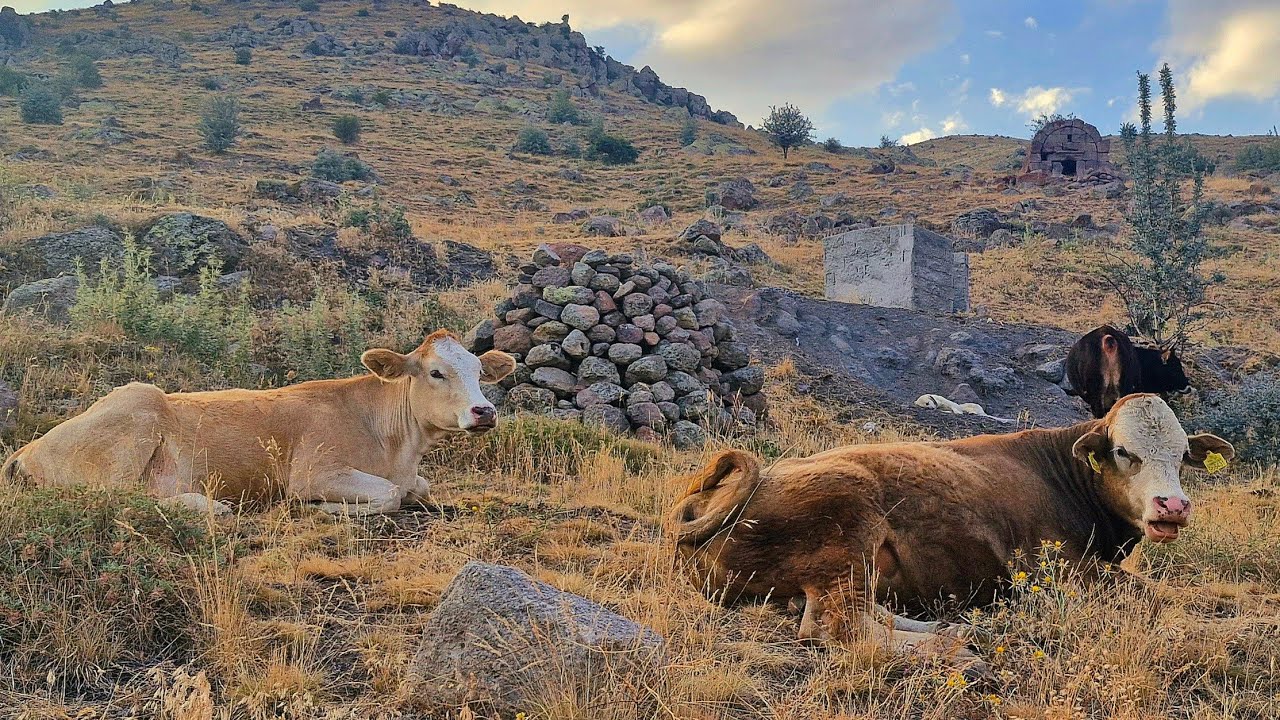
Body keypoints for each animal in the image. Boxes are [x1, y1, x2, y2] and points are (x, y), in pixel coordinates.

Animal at [1, 330, 515, 516]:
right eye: (436, 372)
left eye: (478, 371)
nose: (484, 411)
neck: (397, 446)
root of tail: (27, 447)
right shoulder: (314, 471)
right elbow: (389, 496)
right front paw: (327, 510)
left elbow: (418, 489)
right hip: (135, 412)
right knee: (117, 498)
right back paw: (207, 505)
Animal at [670, 394, 1232, 662]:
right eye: (1123, 452)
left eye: (1182, 456)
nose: (1172, 505)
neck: (1060, 473)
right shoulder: (1058, 571)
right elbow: (1153, 594)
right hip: (850, 525)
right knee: (836, 627)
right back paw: (953, 647)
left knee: (865, 615)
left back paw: (953, 629)